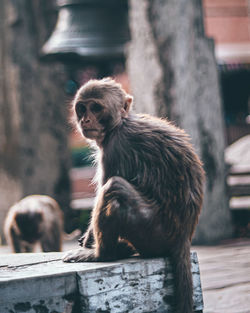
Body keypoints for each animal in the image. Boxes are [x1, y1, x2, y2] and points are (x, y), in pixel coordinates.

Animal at [63, 77, 205, 312]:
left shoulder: (115, 147)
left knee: (115, 188)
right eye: (82, 108)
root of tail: (184, 236)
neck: (120, 124)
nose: (85, 119)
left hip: (153, 231)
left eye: (96, 107)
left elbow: (108, 183)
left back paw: (103, 254)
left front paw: (90, 239)